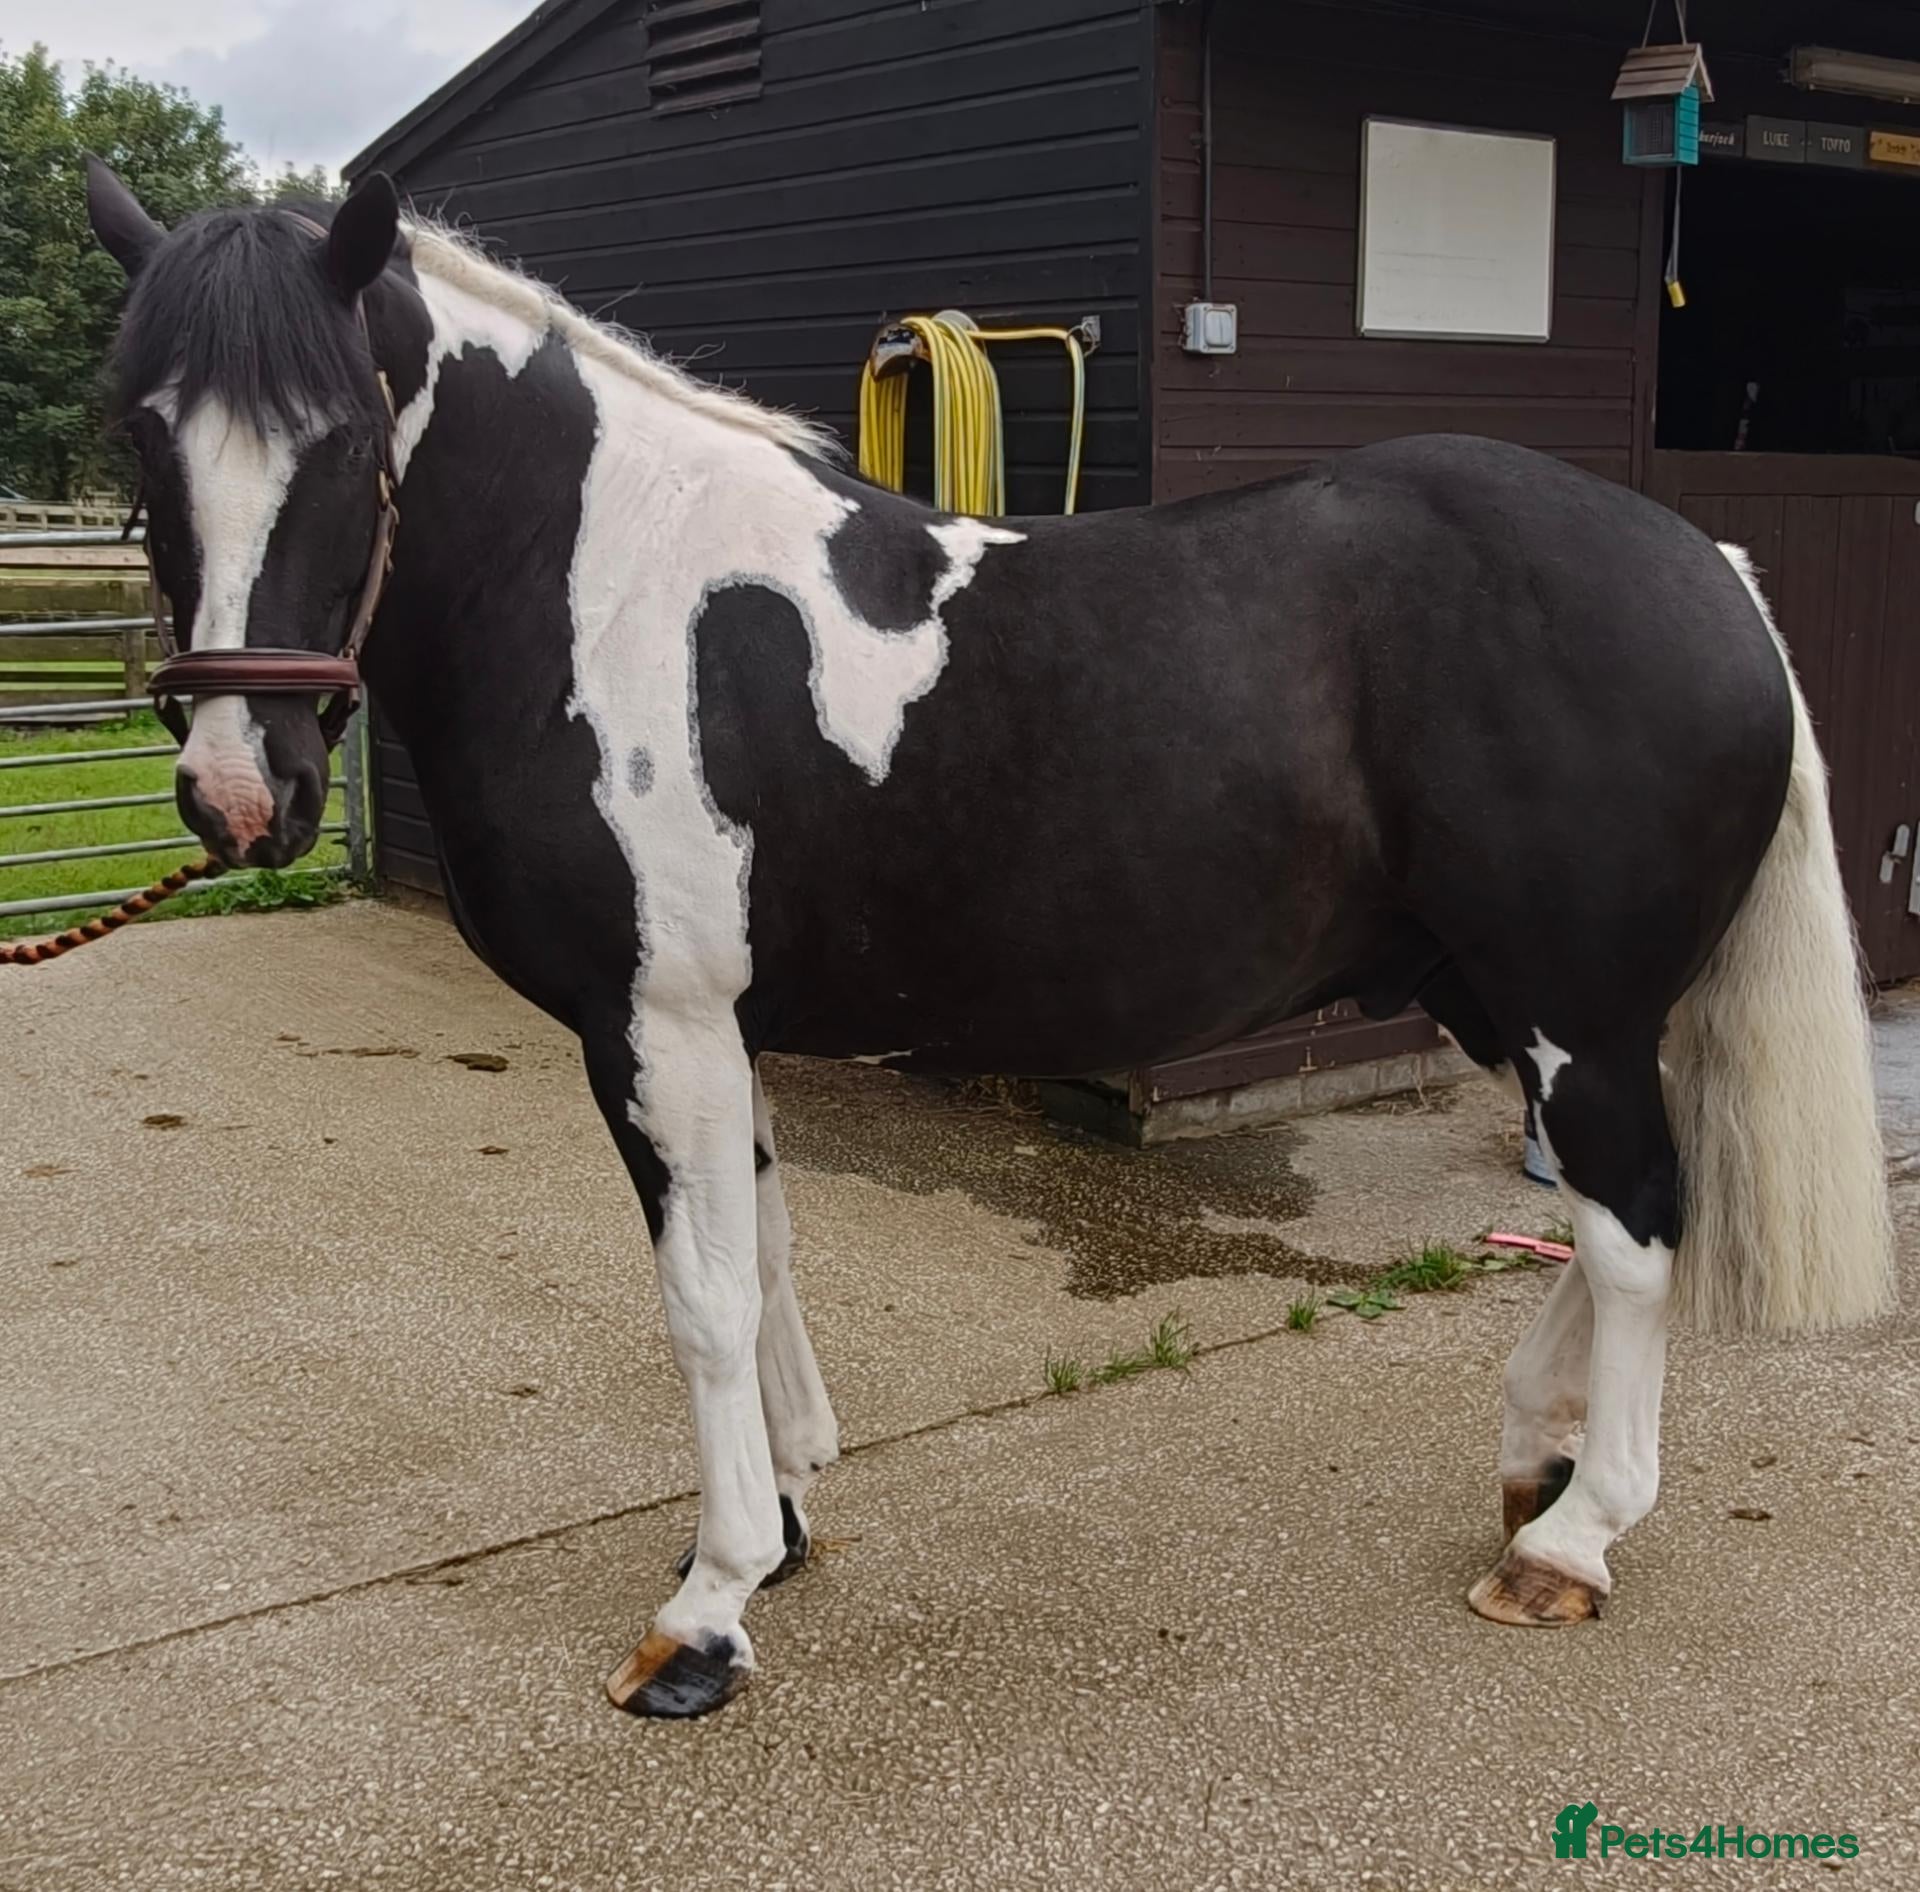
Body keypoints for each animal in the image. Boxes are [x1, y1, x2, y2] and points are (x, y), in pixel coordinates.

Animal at [85, 163, 1893, 1719]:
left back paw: (1574, 1540)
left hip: (1577, 1009)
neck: (605, 588)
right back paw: (1538, 1462)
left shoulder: (652, 1024)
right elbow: (767, 1256)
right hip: (1509, 999)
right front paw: (782, 1523)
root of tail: (1714, 569)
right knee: (1615, 1216)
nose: (242, 792)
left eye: (343, 432)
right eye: (141, 435)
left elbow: (702, 1300)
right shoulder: (721, 1031)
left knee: (1635, 1228)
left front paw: (706, 1616)